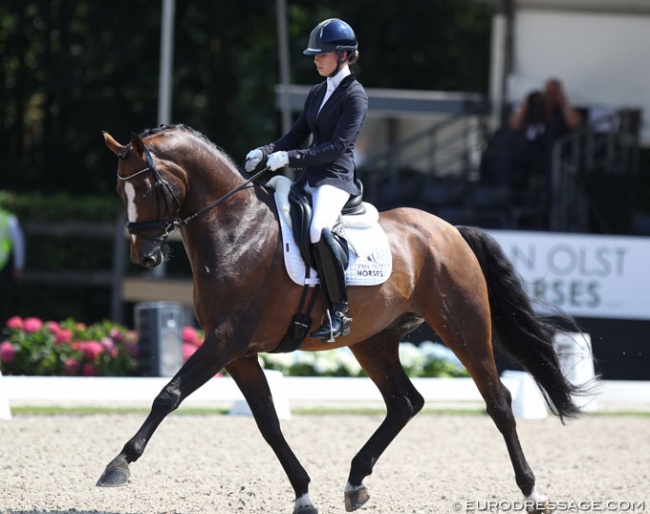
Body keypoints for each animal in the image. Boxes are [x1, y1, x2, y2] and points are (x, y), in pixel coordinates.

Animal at [100, 124, 584, 512]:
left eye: (147, 190)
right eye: (120, 193)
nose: (146, 258)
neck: (236, 232)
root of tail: (449, 230)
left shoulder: (225, 342)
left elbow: (168, 394)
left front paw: (118, 464)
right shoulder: (238, 353)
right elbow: (268, 423)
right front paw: (303, 493)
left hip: (464, 327)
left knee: (498, 401)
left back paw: (531, 492)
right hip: (372, 341)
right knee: (405, 402)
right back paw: (355, 482)